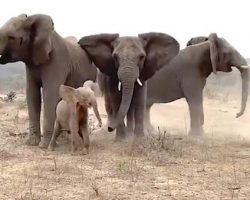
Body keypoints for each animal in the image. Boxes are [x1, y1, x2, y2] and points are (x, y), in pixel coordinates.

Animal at [0, 14, 96, 148]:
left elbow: (50, 94)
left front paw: (43, 146)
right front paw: (31, 143)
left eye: (11, 38)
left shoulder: (57, 61)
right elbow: (32, 94)